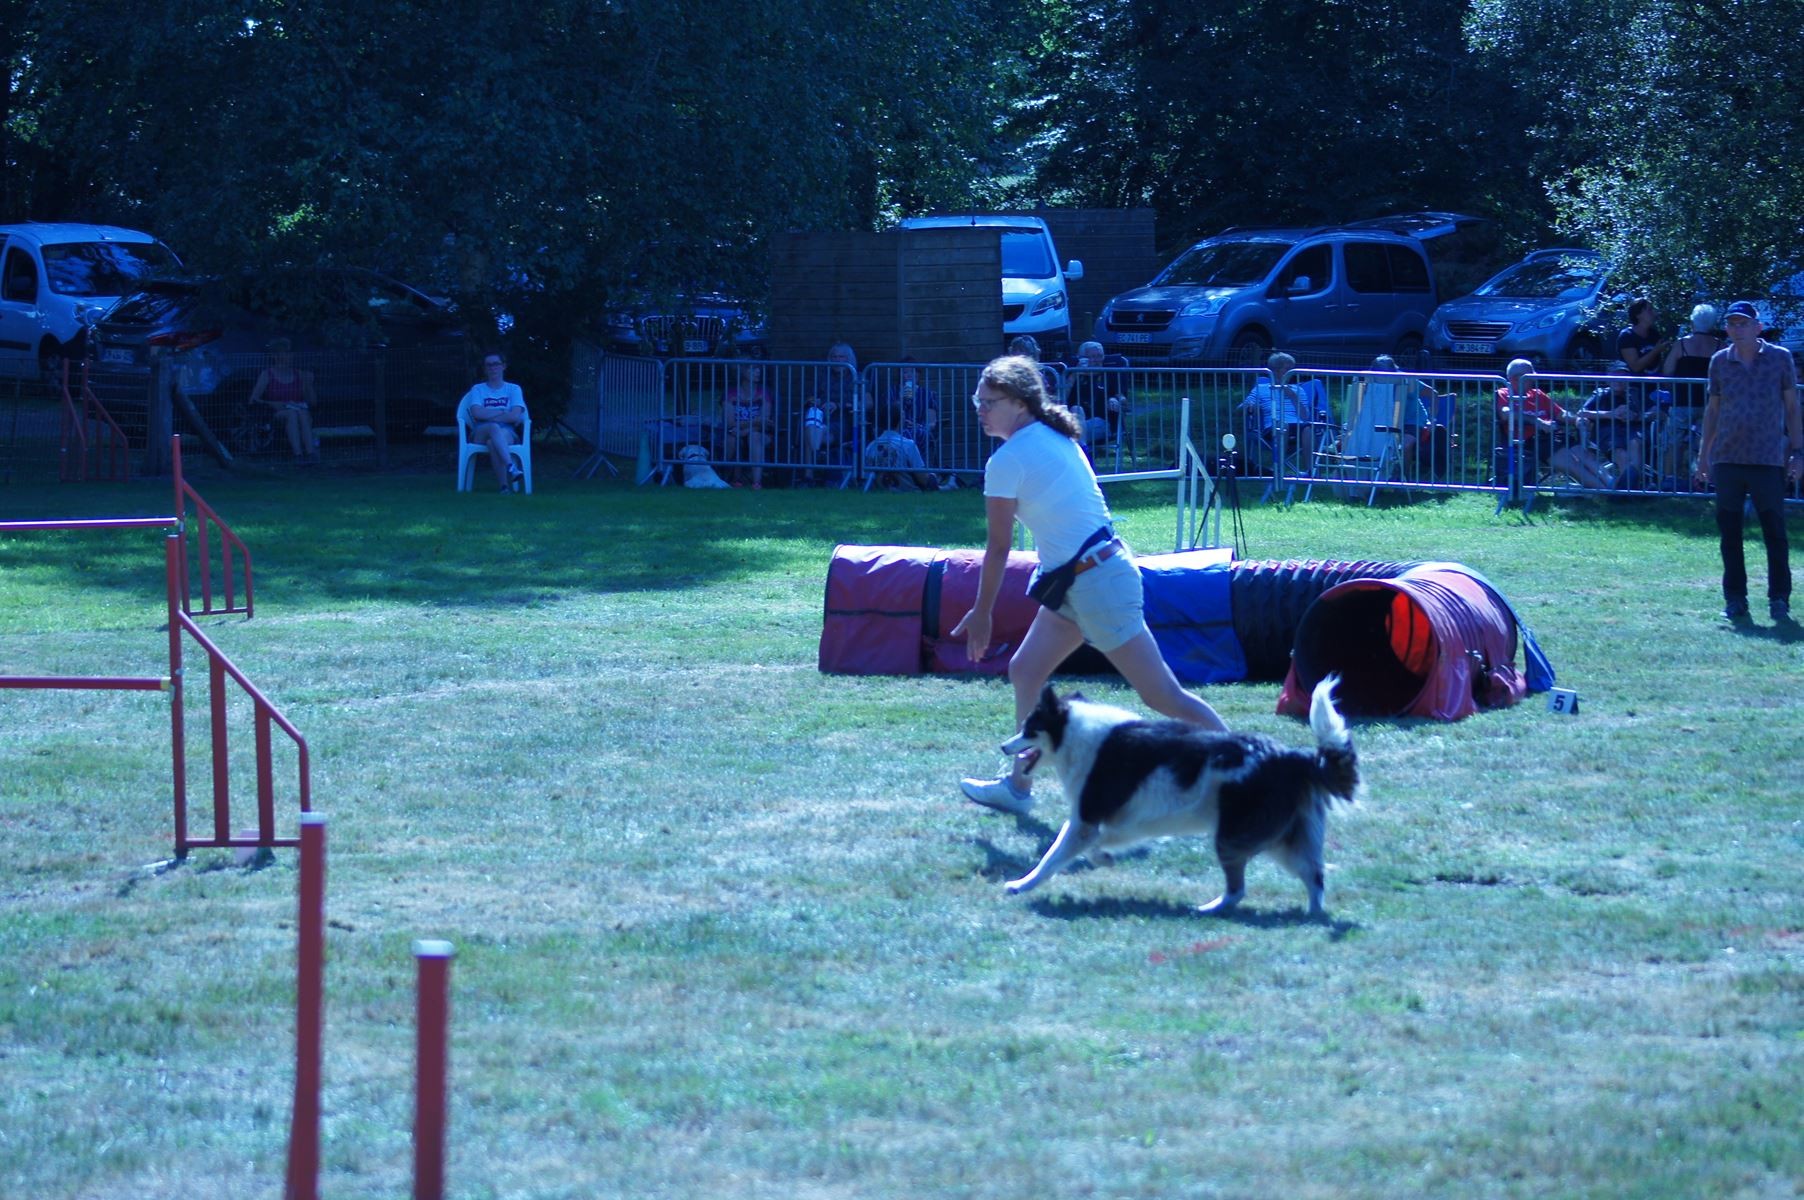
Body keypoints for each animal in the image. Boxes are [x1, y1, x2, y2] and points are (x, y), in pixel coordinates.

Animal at [995, 674, 1356, 916]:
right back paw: (1312, 916)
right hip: (1282, 838)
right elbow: (1094, 846)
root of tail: (1294, 756)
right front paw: (1105, 858)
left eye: (1029, 728)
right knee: (1314, 875)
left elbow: (1052, 855)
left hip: (1232, 837)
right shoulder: (1114, 821)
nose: (1003, 746)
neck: (1072, 733)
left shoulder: (1087, 816)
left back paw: (1208, 909)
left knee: (1239, 888)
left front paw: (1021, 884)